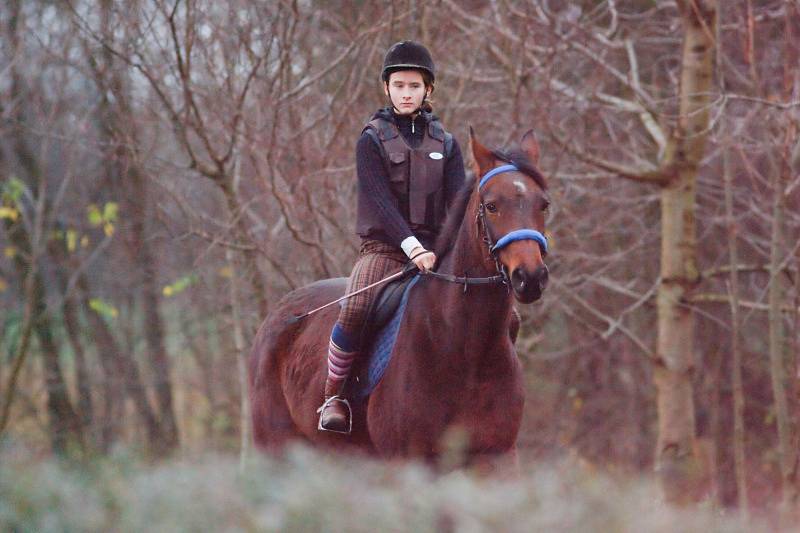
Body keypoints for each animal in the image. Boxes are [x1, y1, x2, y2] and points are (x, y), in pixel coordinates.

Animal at [250, 130, 552, 466]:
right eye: (491, 206)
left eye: (543, 204)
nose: (530, 277)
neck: (464, 346)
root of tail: (277, 317)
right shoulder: (408, 459)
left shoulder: (497, 458)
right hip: (275, 446)